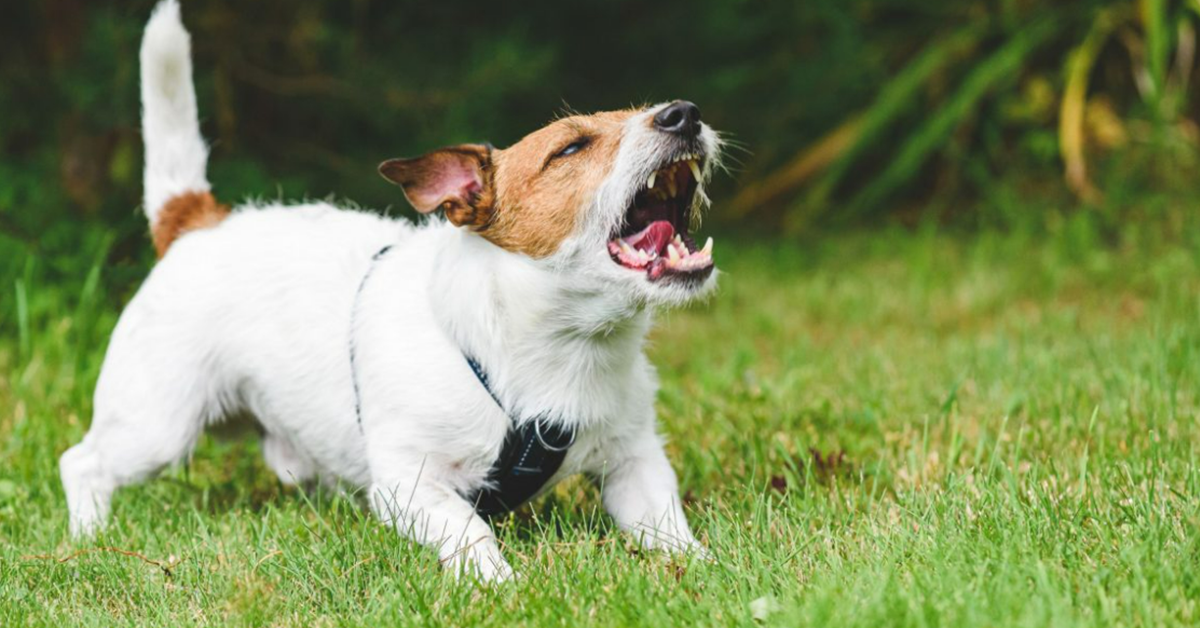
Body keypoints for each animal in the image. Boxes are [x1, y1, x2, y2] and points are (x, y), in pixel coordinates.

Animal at [60, 0, 720, 585]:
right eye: (571, 148)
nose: (684, 113)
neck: (558, 347)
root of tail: (197, 221)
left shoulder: (635, 462)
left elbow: (666, 525)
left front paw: (707, 568)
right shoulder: (411, 482)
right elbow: (469, 527)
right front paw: (498, 581)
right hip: (157, 426)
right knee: (82, 462)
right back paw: (90, 536)